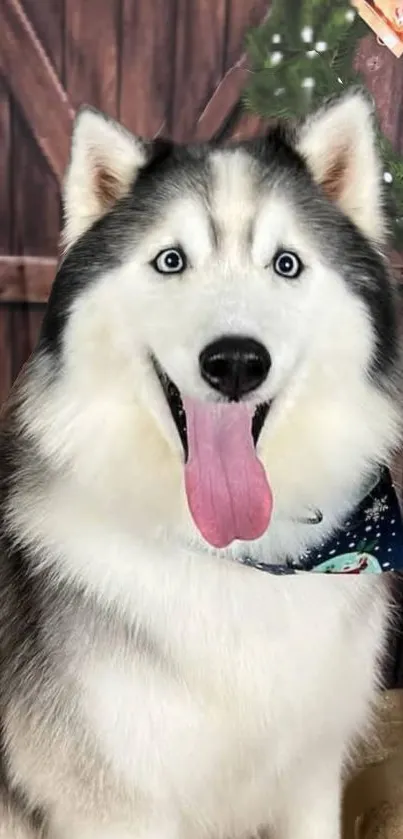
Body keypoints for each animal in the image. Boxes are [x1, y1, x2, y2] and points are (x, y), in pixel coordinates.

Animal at [0, 88, 402, 836]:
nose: (236, 361)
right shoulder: (119, 805)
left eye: (286, 264)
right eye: (170, 261)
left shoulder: (311, 778)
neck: (235, 560)